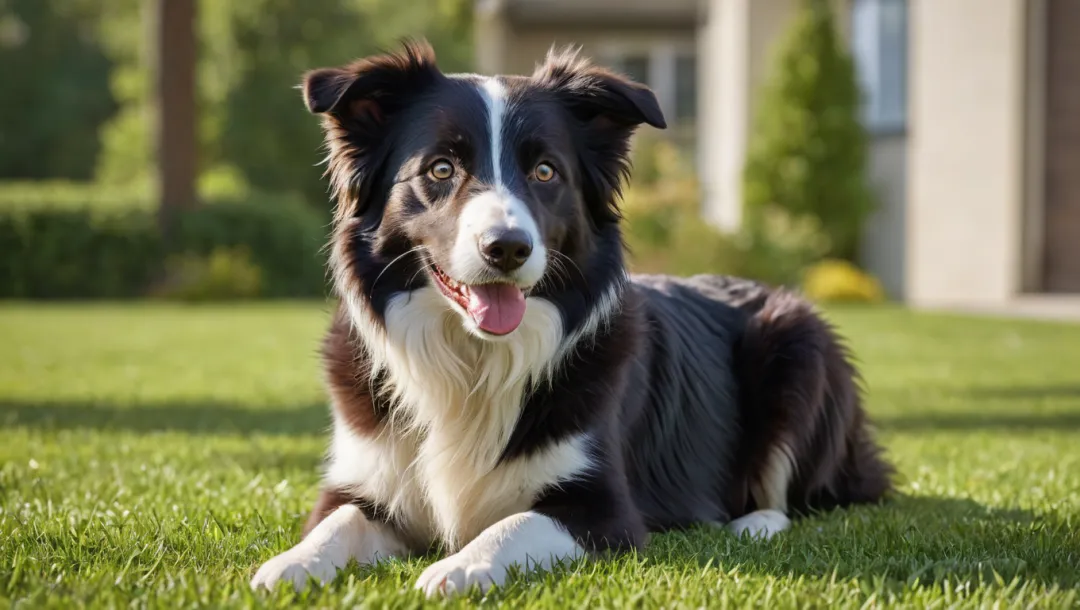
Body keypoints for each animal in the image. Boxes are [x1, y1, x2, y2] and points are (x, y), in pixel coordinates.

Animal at [248, 40, 889, 595]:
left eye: (545, 172)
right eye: (440, 170)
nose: (507, 248)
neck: (473, 360)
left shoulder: (604, 510)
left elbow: (514, 524)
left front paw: (459, 566)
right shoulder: (365, 484)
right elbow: (336, 524)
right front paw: (290, 564)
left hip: (800, 347)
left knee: (791, 497)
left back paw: (752, 524)